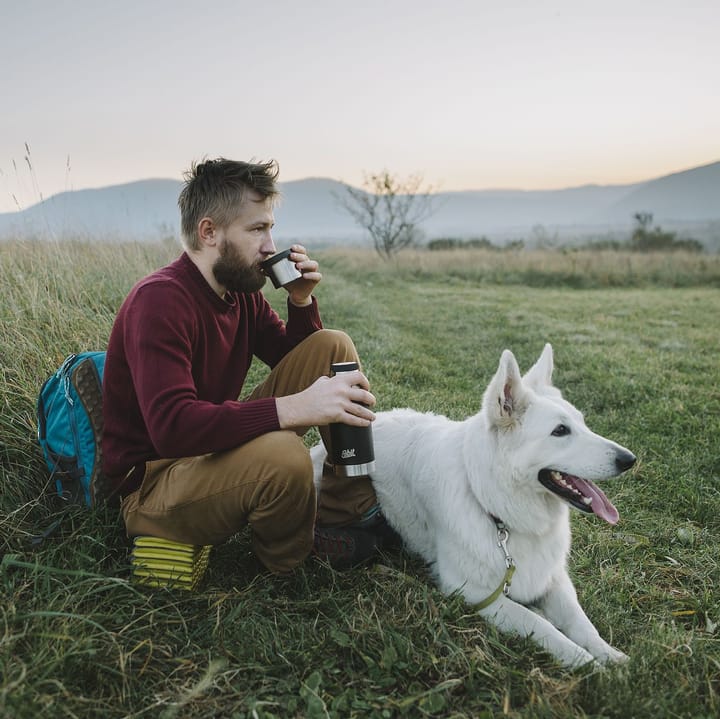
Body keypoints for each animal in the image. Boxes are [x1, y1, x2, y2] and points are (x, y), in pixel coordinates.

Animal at [312, 344, 632, 668]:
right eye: (560, 431)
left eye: (583, 423)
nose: (629, 459)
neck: (495, 507)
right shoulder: (474, 592)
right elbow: (540, 625)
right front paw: (589, 666)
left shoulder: (553, 577)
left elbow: (580, 622)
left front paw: (610, 657)